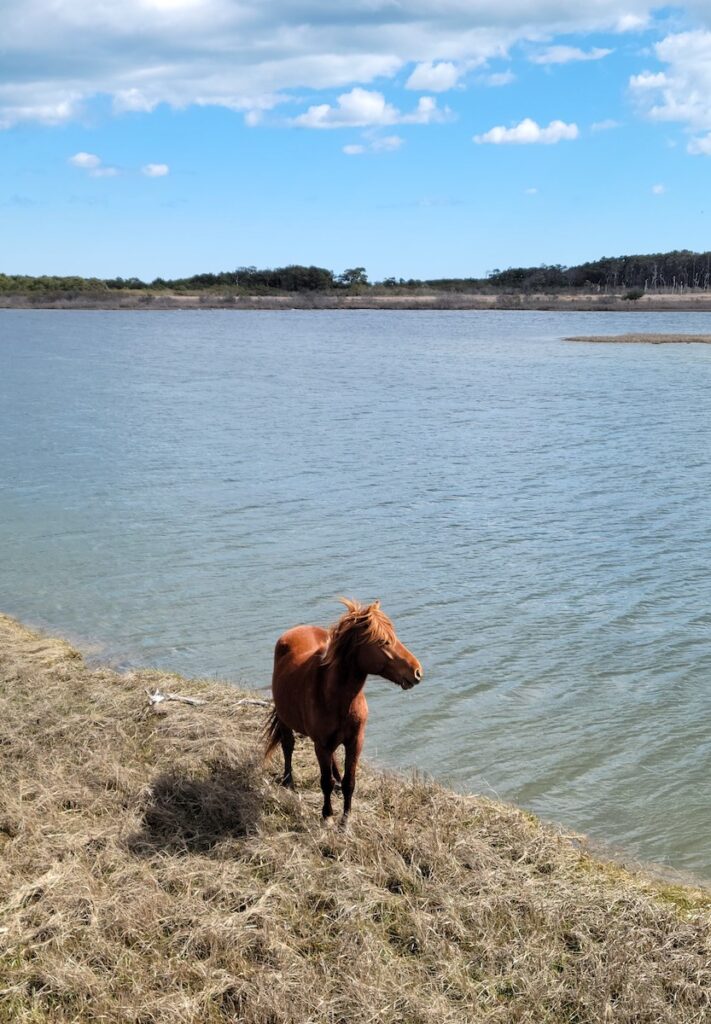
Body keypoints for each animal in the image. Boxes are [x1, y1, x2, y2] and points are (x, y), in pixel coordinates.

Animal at [264, 598, 423, 825]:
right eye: (383, 641)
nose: (417, 672)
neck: (338, 699)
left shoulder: (355, 741)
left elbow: (350, 782)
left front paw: (345, 820)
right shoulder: (321, 744)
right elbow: (325, 782)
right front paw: (328, 816)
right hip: (287, 720)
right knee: (288, 745)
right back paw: (288, 781)